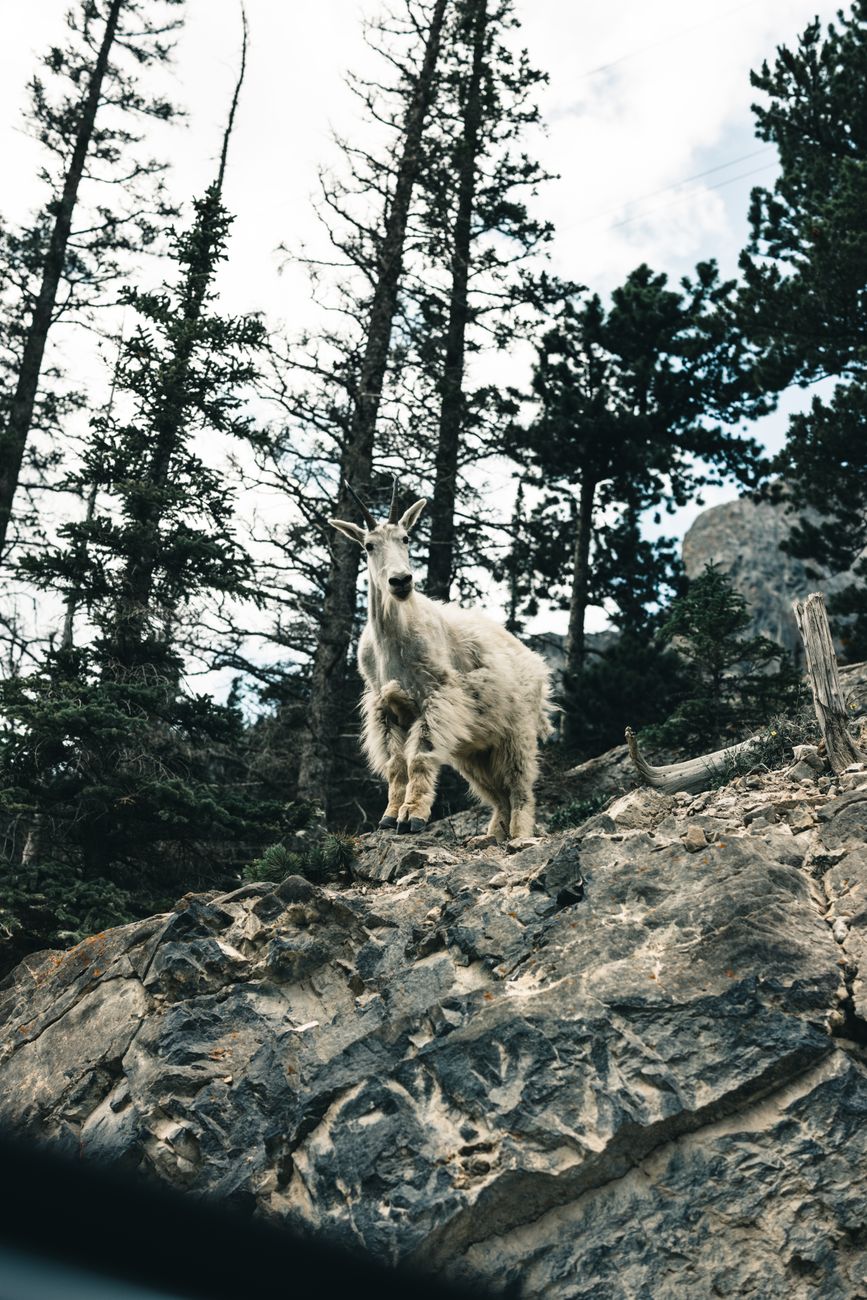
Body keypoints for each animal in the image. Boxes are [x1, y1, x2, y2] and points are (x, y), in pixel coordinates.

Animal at [330, 480, 552, 842]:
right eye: (369, 545)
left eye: (406, 538)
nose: (401, 581)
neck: (393, 638)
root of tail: (536, 665)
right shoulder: (384, 708)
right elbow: (396, 765)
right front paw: (389, 816)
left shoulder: (437, 698)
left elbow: (420, 757)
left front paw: (412, 817)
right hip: (474, 749)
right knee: (496, 793)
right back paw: (492, 835)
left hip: (516, 733)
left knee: (519, 787)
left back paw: (518, 836)